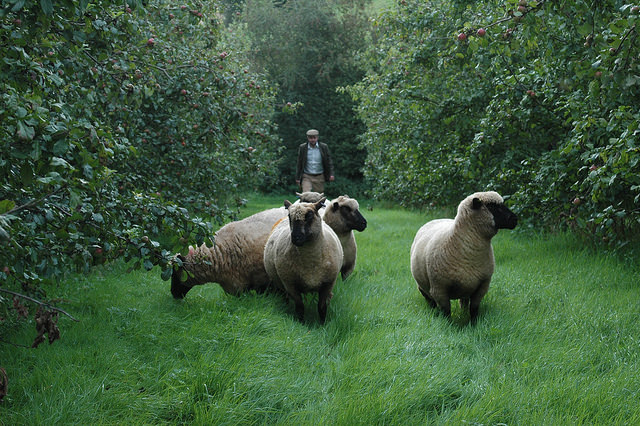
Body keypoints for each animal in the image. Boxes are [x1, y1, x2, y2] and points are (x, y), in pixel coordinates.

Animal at [410, 191, 520, 322]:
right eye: (492, 207)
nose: (515, 219)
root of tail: (436, 219)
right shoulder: (439, 289)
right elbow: (446, 311)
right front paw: (447, 324)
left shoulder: (482, 286)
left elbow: (474, 309)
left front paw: (474, 324)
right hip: (423, 287)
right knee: (430, 301)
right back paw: (433, 312)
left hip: (466, 287)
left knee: (463, 302)